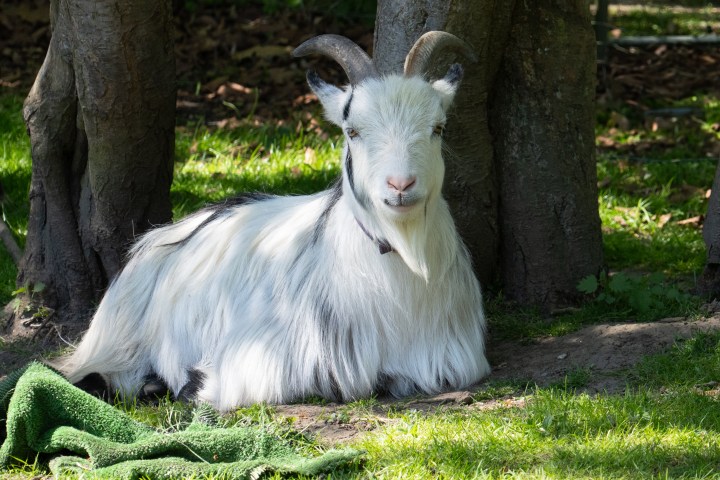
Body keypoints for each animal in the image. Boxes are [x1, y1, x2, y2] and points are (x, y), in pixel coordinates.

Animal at [62, 31, 491, 410]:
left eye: (438, 128)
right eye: (352, 131)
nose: (401, 185)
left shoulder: (453, 358)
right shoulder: (259, 359)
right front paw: (190, 385)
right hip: (117, 339)